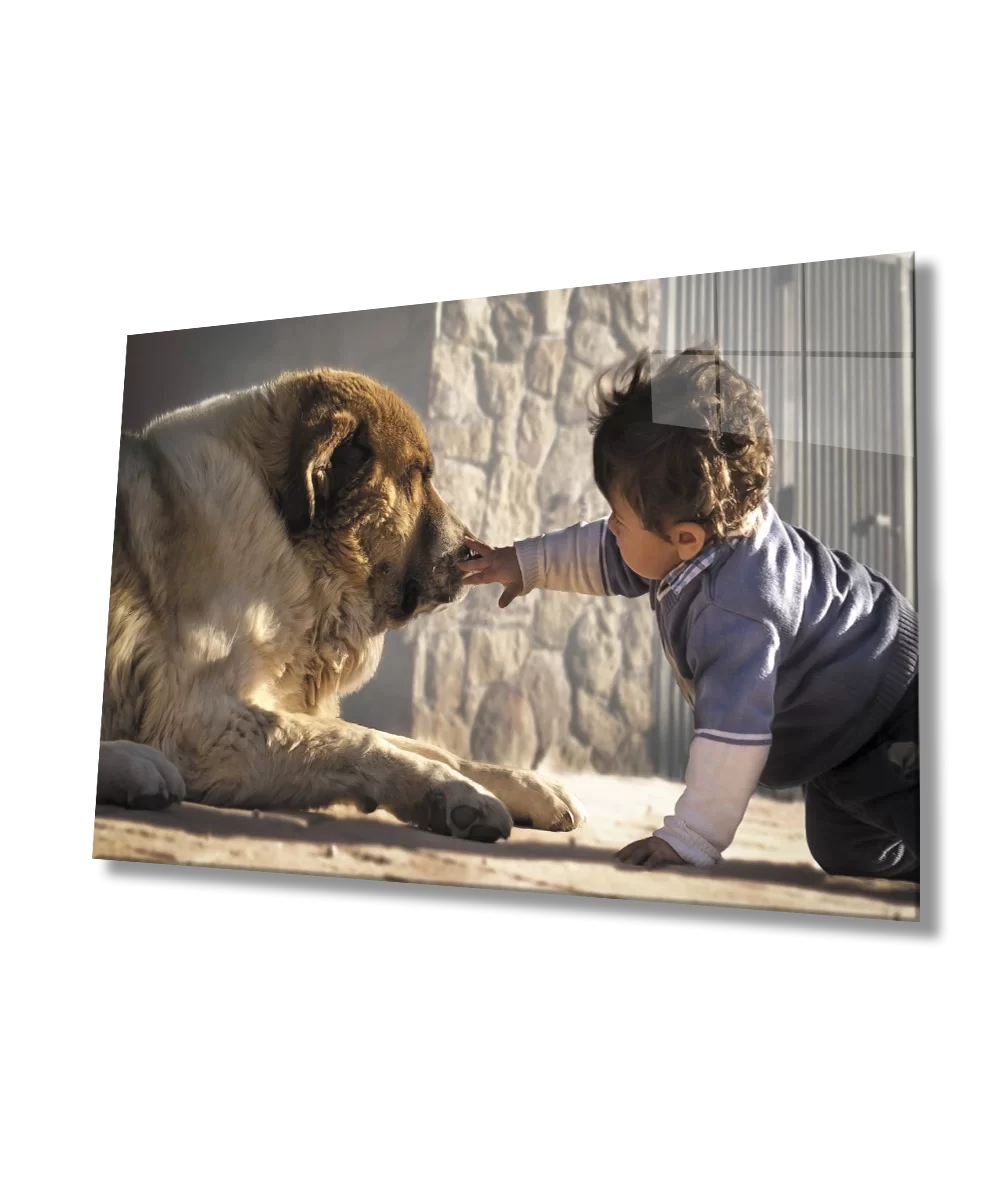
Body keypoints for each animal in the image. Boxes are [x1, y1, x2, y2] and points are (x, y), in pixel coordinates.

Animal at [99, 364, 585, 844]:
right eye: (417, 475)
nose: (471, 551)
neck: (291, 540)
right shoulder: (200, 723)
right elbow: (359, 741)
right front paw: (456, 794)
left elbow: (417, 743)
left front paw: (520, 784)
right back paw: (137, 766)